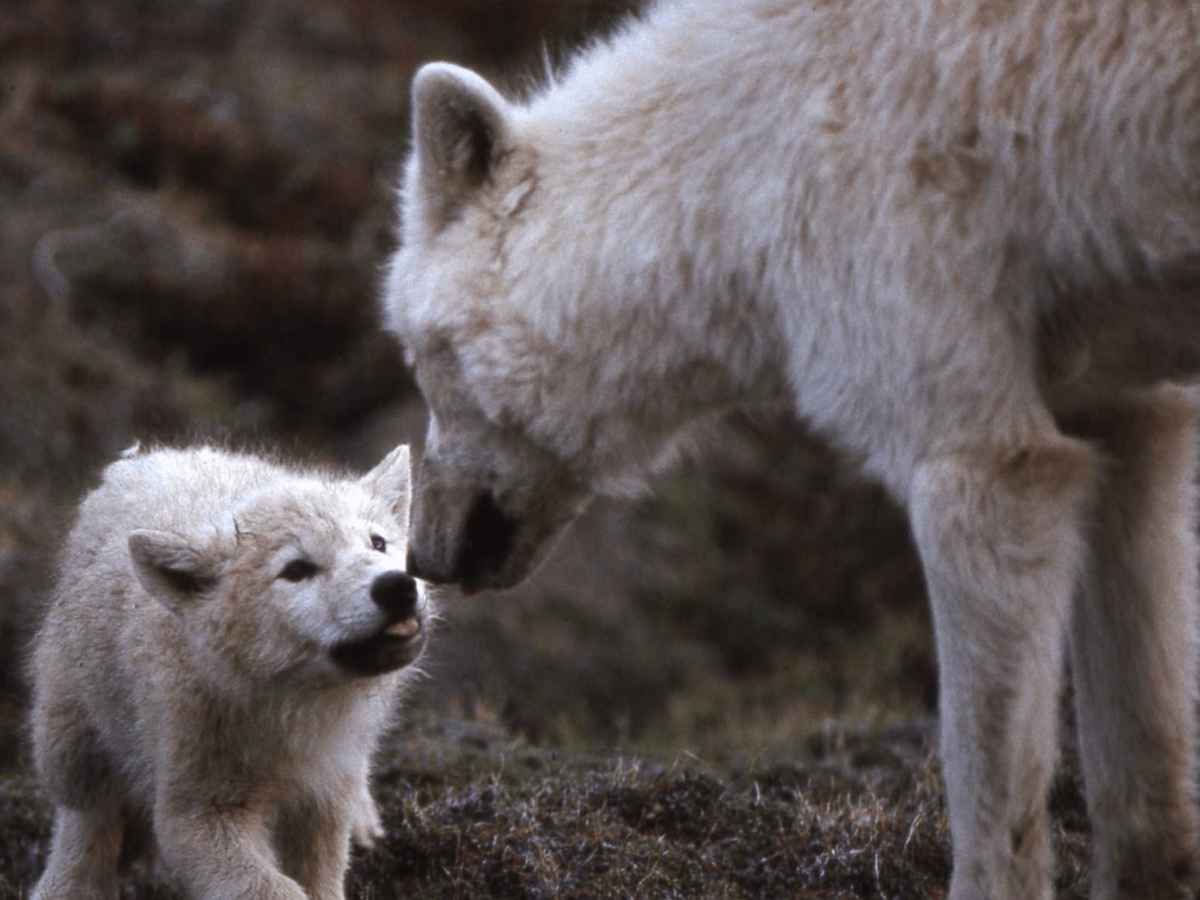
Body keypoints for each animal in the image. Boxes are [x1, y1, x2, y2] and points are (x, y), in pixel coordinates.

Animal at [29, 443, 427, 900]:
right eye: (296, 570)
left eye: (378, 542)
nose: (397, 586)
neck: (295, 707)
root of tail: (150, 457)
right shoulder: (199, 810)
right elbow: (273, 887)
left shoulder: (322, 791)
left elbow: (322, 872)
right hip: (77, 737)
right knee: (88, 821)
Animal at [380, 1, 1200, 897]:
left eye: (419, 358)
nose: (422, 558)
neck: (743, 158)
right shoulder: (1128, 415)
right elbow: (1142, 789)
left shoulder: (979, 462)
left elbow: (989, 801)